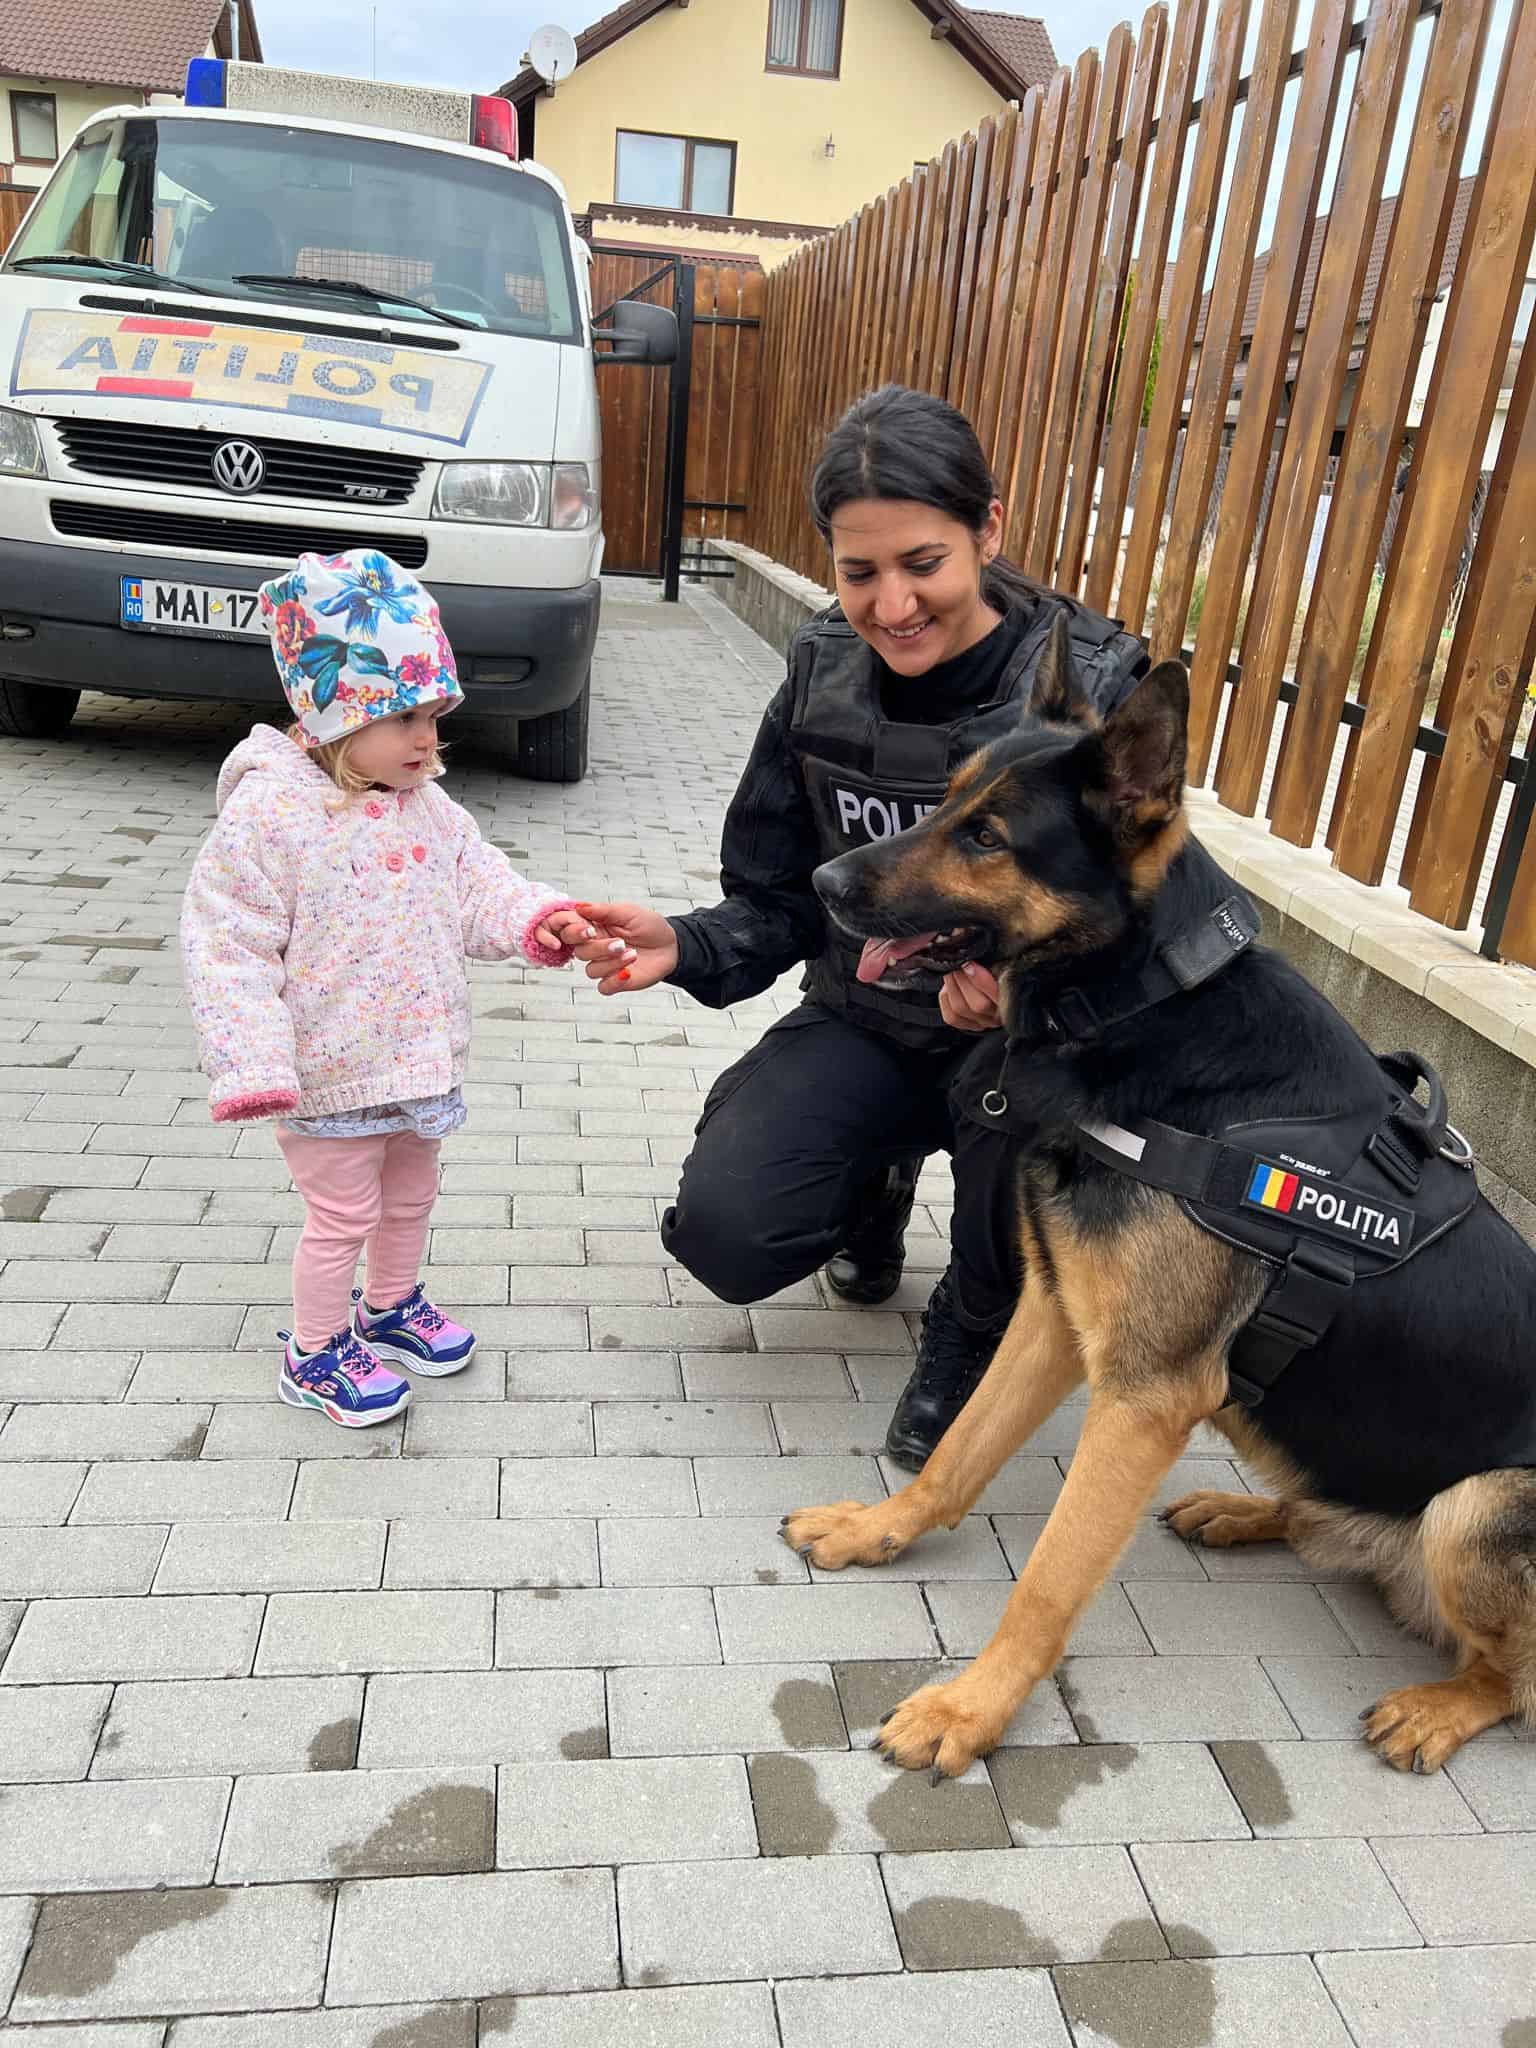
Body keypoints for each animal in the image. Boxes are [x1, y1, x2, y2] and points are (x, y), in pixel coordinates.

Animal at [786, 622, 1536, 1777]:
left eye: (988, 838)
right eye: (947, 800)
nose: (821, 878)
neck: (1146, 1006)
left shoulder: (1142, 1397)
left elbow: (1048, 1580)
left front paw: (972, 1707)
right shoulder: (1055, 1317)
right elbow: (958, 1453)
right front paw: (882, 1527)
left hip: (1479, 1505)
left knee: (1511, 1677)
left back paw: (1437, 1706)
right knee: (1334, 1527)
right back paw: (1245, 1510)